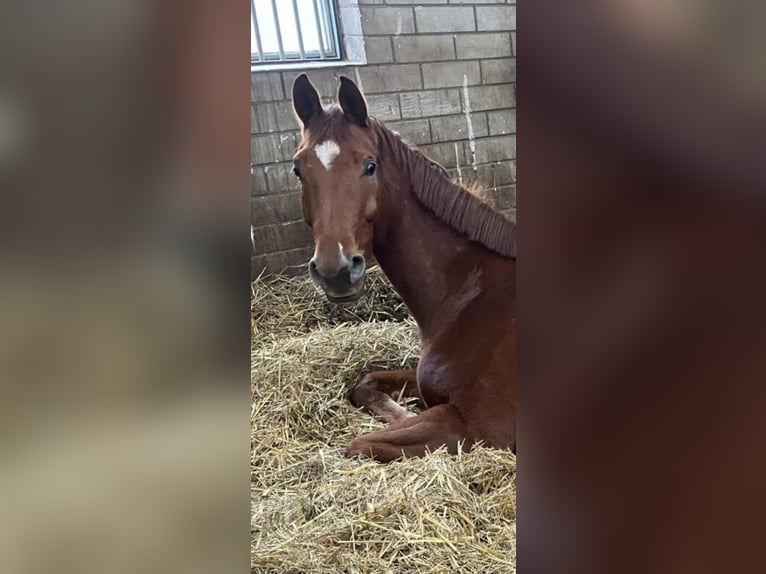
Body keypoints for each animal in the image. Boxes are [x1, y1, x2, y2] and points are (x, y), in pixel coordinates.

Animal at [292, 75, 520, 464]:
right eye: (298, 170)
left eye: (370, 165)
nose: (336, 270)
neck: (471, 296)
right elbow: (366, 383)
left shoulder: (475, 429)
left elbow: (360, 443)